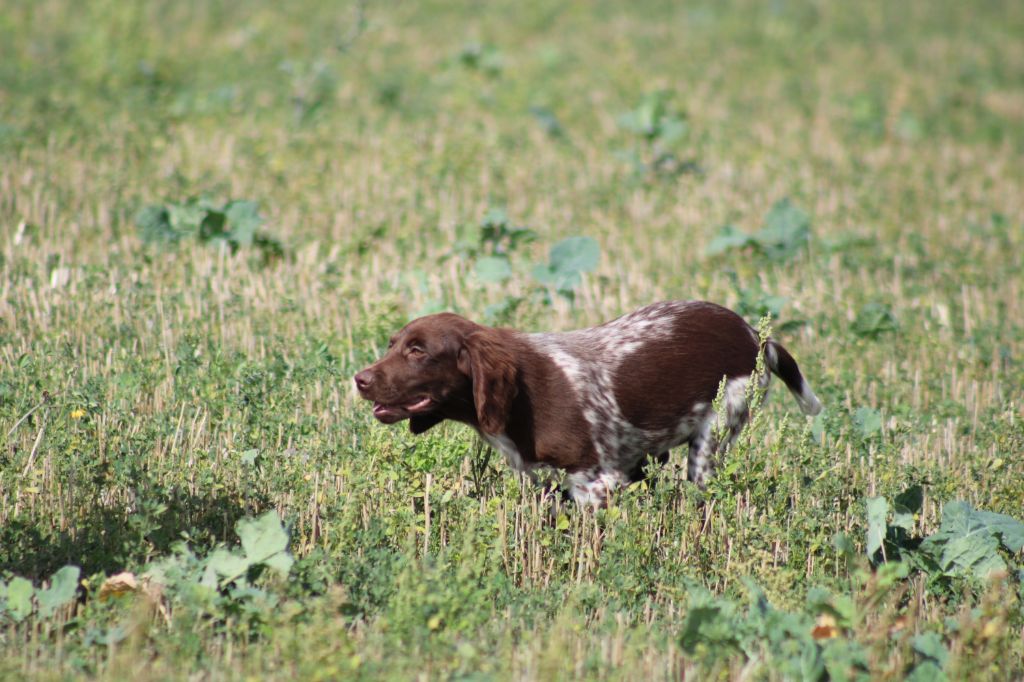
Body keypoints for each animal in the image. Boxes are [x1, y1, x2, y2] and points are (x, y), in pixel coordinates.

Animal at [356, 301, 819, 501]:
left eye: (418, 351)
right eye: (393, 344)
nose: (359, 380)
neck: (524, 397)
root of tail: (756, 336)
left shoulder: (599, 480)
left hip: (713, 437)